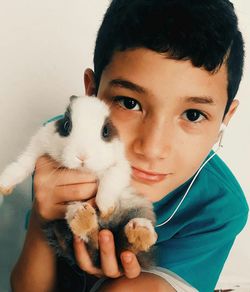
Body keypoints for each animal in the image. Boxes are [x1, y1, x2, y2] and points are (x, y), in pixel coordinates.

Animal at [0, 96, 157, 270]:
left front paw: (106, 208)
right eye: (67, 125)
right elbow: (23, 164)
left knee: (127, 247)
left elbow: (110, 180)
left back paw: (140, 231)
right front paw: (4, 186)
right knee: (91, 242)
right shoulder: (37, 146)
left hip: (137, 207)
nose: (82, 156)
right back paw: (83, 217)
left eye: (105, 131)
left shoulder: (121, 166)